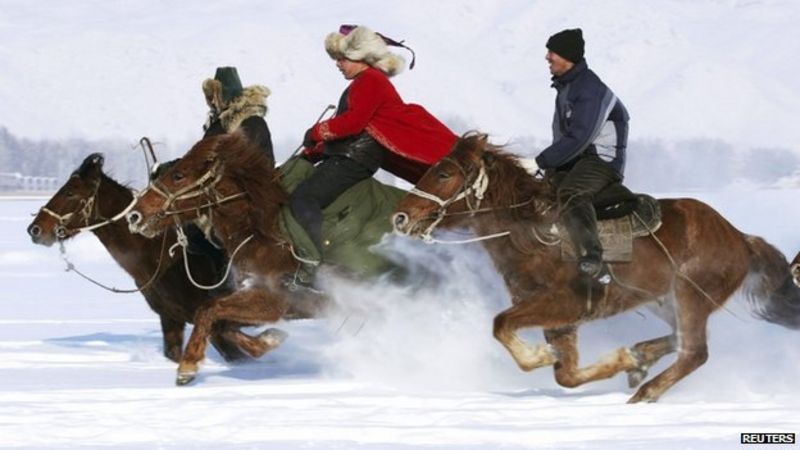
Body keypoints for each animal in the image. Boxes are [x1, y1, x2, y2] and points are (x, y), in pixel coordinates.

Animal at [126, 132, 326, 384]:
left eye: (178, 175)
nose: (134, 216)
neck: (262, 234)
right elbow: (221, 325)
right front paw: (270, 338)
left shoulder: (272, 302)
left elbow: (208, 309)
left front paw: (187, 366)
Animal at [394, 134, 800, 404]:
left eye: (444, 174)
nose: (400, 217)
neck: (534, 232)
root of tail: (741, 238)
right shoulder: (561, 318)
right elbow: (567, 375)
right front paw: (620, 359)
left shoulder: (565, 303)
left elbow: (502, 324)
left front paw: (540, 356)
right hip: (664, 300)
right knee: (680, 339)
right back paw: (639, 361)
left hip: (690, 296)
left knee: (695, 351)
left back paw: (645, 393)